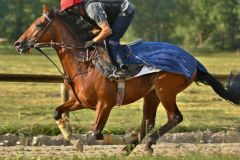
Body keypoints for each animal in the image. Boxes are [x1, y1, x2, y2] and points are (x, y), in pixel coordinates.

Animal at [13, 7, 240, 152]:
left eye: (39, 24)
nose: (18, 43)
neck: (84, 63)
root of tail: (193, 61)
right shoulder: (81, 101)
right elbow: (57, 111)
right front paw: (75, 142)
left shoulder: (105, 104)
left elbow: (96, 133)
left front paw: (122, 138)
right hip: (151, 95)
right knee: (148, 123)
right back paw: (133, 147)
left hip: (165, 89)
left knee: (175, 117)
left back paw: (144, 144)